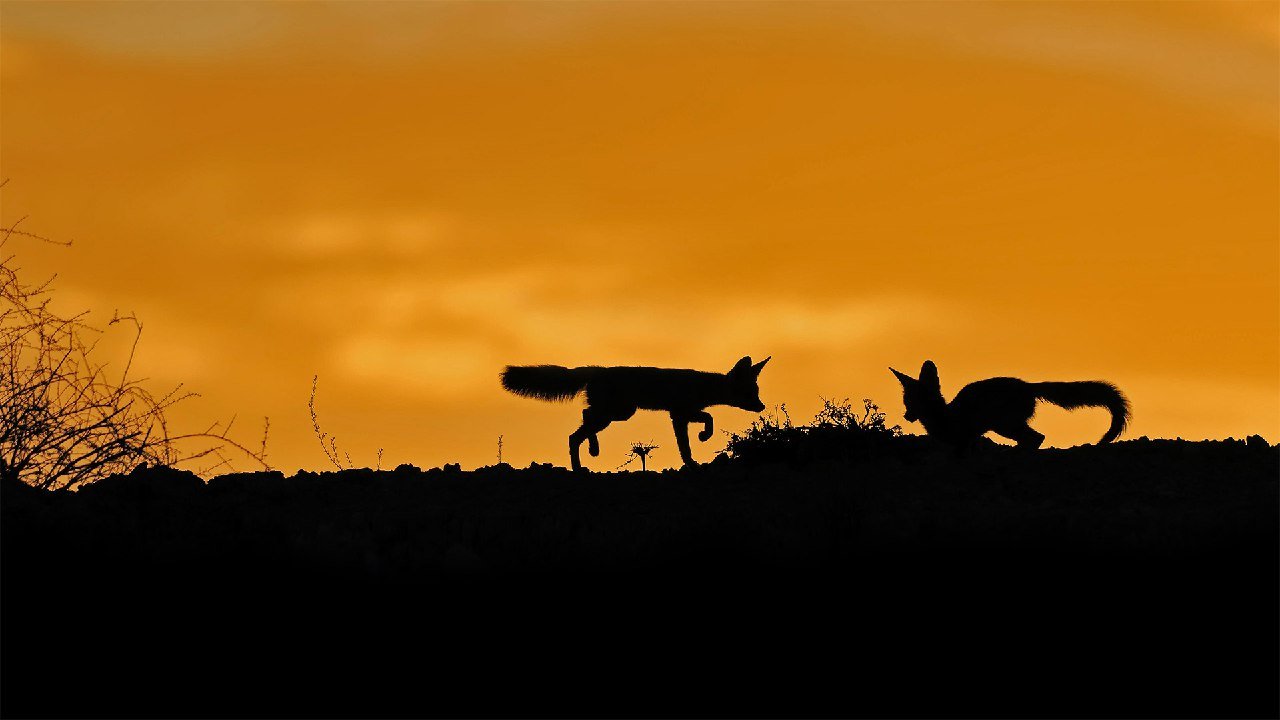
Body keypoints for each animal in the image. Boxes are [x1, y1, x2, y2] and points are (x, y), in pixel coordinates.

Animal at [500, 356, 770, 471]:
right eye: (750, 393)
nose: (762, 407)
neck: (701, 386)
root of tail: (597, 369)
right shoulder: (681, 412)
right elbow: (704, 425)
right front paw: (702, 441)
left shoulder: (680, 414)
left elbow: (690, 439)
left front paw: (692, 458)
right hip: (617, 412)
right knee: (575, 433)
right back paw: (580, 464)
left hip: (617, 413)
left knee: (584, 417)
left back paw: (593, 450)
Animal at [890, 360, 1130, 450]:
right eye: (907, 401)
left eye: (916, 402)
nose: (906, 416)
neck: (946, 416)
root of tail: (1028, 386)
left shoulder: (966, 437)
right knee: (1035, 438)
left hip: (1004, 425)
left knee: (1037, 437)